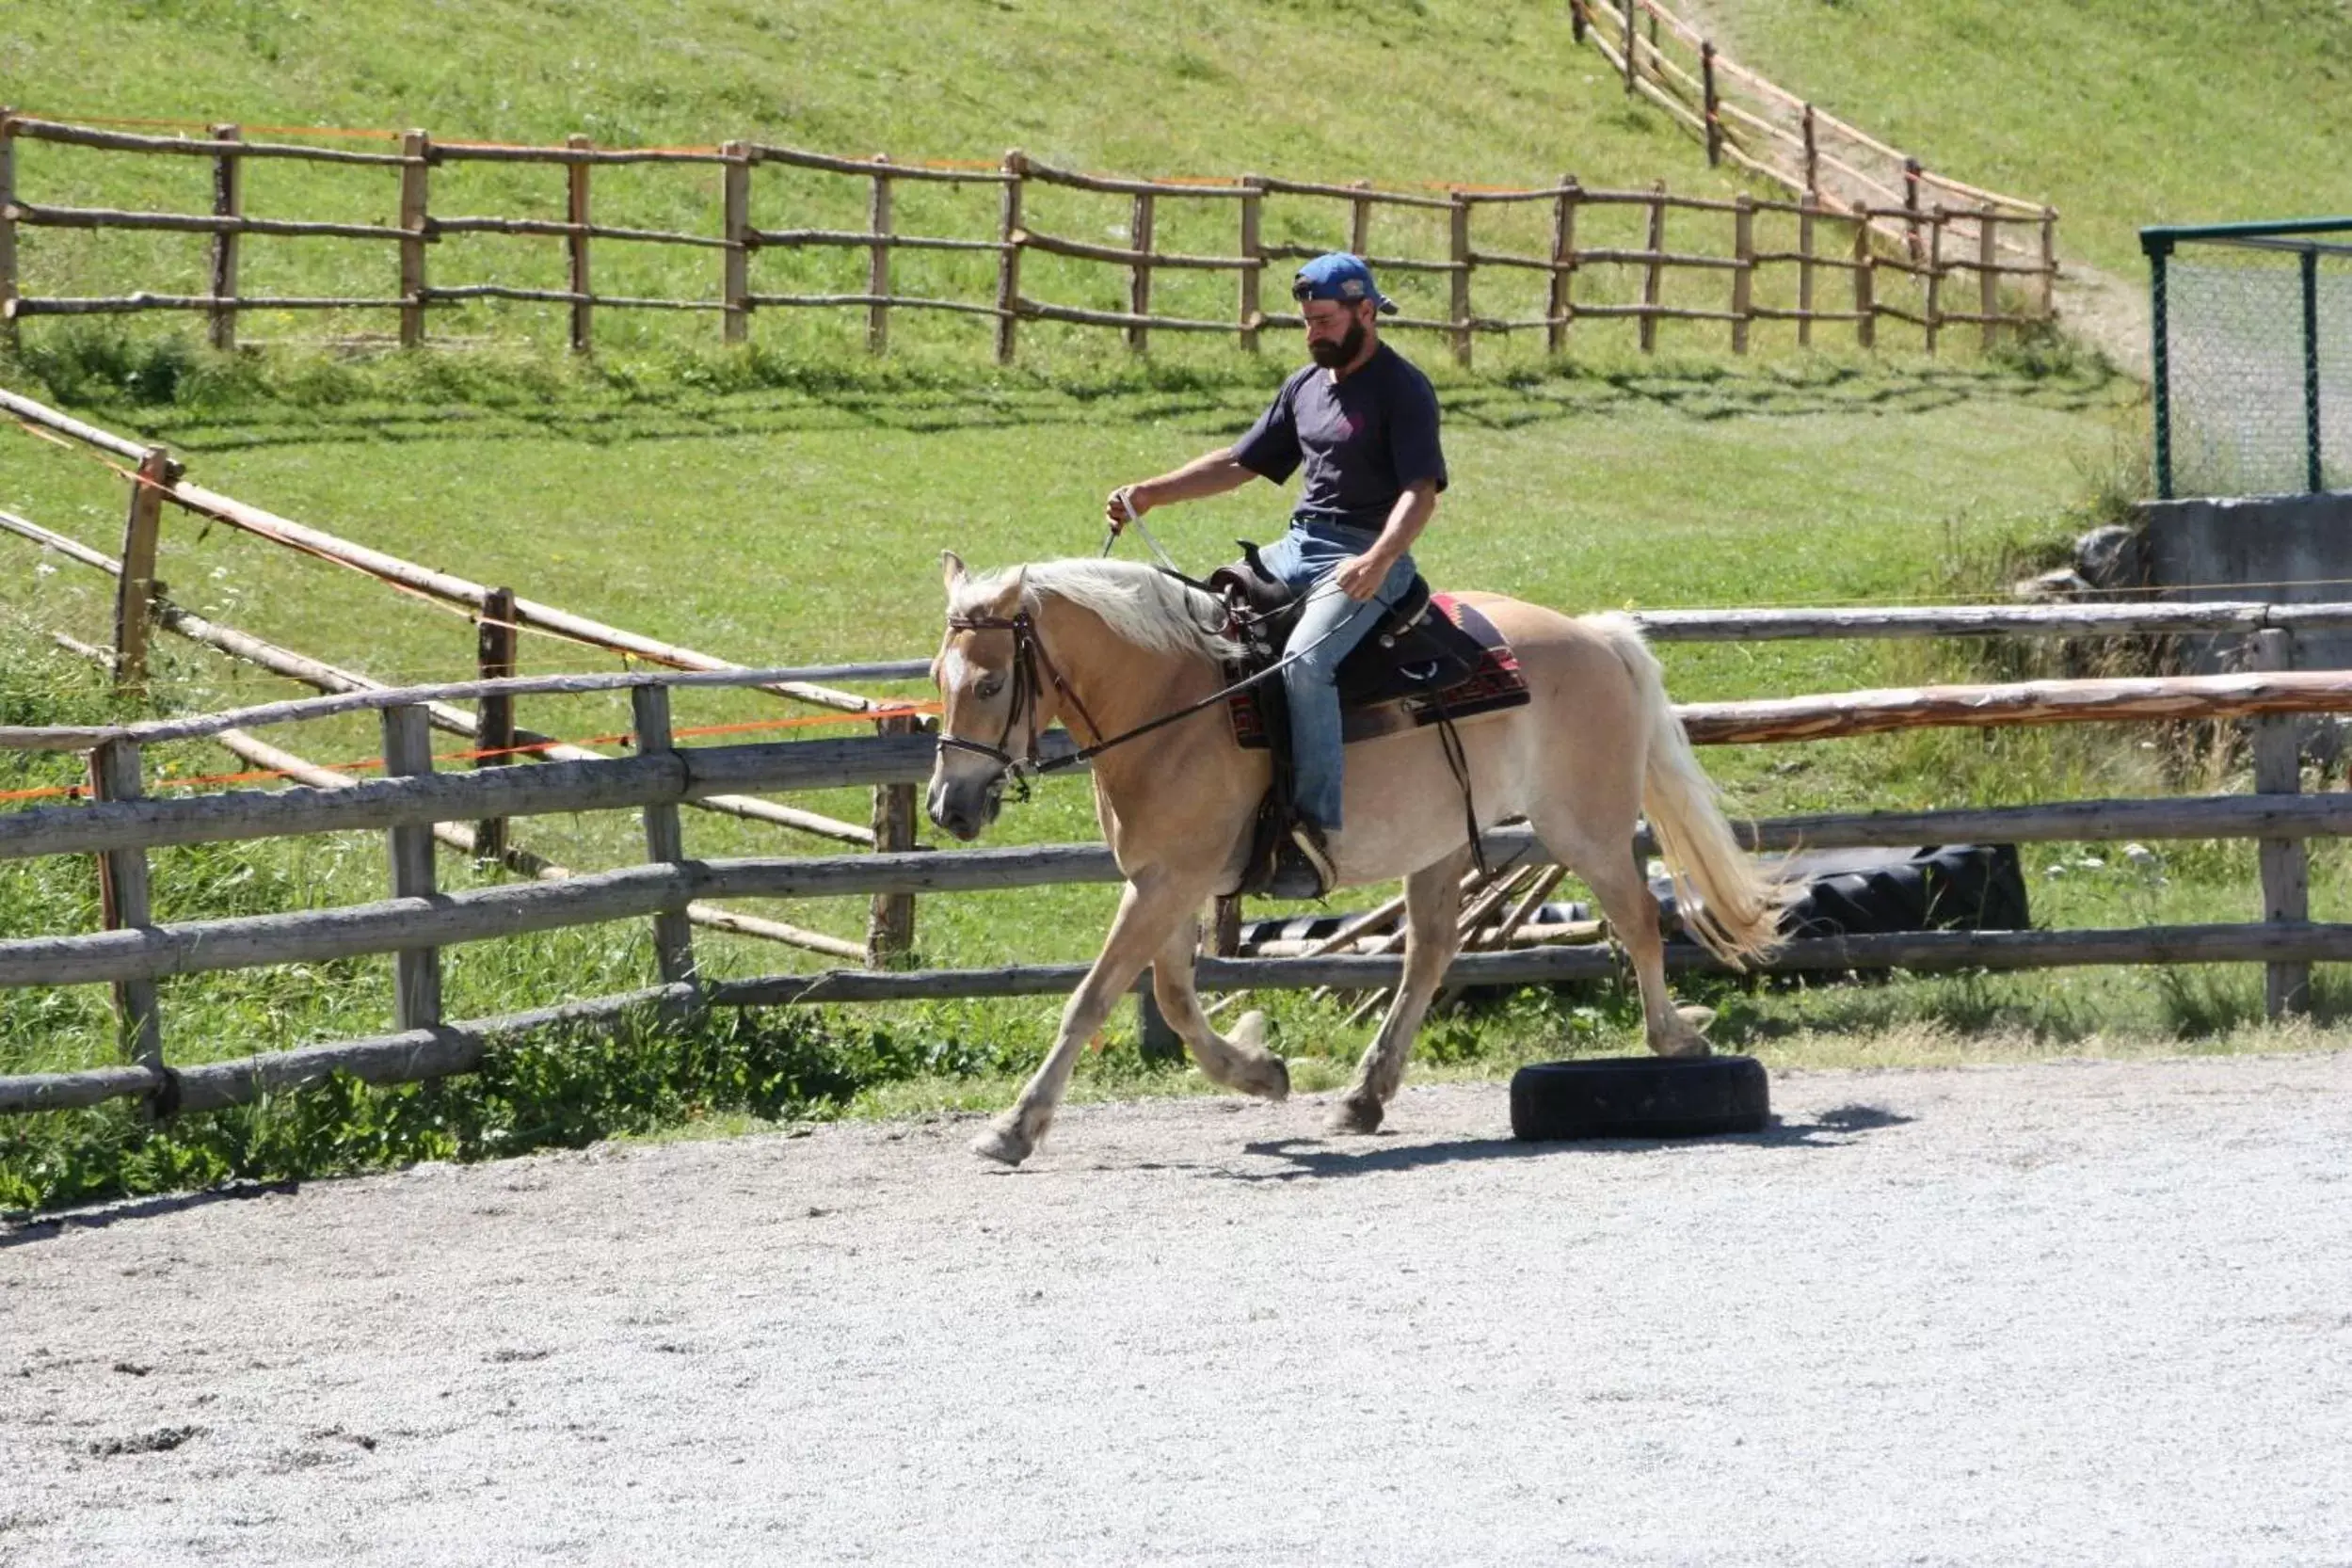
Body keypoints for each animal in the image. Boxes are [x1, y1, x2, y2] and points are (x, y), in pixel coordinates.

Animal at [921, 552, 1778, 1165]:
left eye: (992, 683)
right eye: (937, 677)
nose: (947, 807)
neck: (1175, 702)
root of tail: (1597, 637)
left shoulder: (1167, 882)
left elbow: (1093, 998)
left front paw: (1014, 1128)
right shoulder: (1165, 880)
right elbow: (1172, 997)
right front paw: (1259, 1071)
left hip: (1586, 827)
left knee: (1634, 919)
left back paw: (1675, 1039)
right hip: (1439, 844)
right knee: (1429, 952)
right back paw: (1364, 1095)